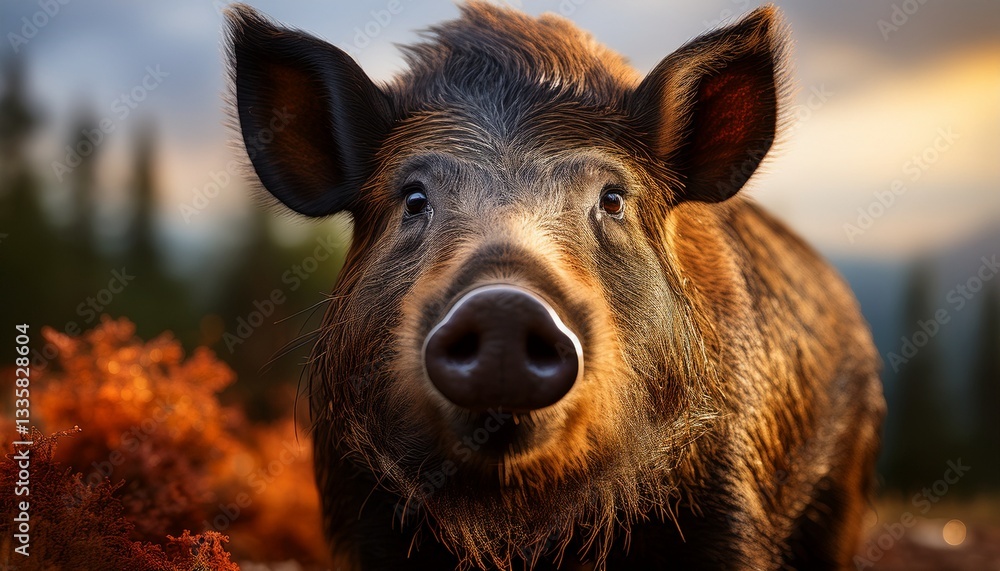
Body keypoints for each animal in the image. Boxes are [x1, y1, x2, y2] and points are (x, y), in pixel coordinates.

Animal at [225, 3, 885, 570]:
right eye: (413, 198)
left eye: (612, 199)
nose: (503, 306)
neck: (521, 528)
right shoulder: (359, 505)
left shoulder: (731, 498)